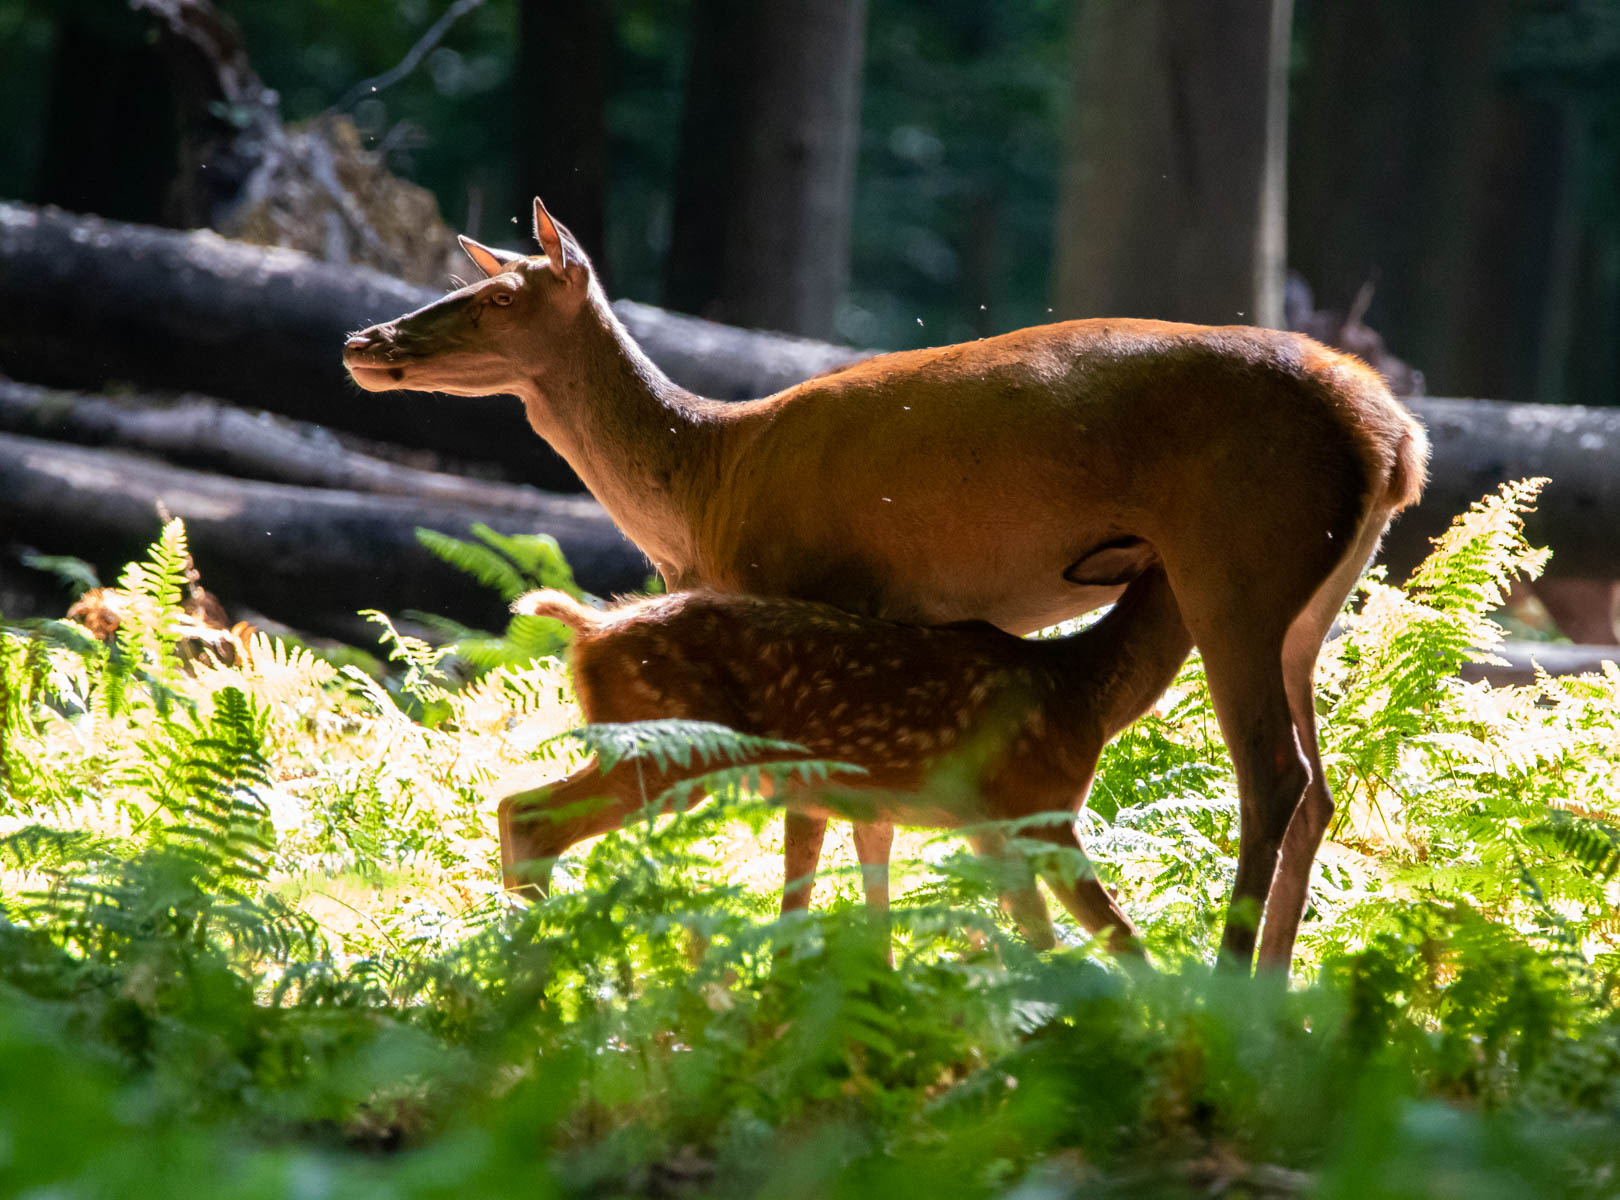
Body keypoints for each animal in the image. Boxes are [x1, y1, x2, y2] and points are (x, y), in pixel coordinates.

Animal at [335, 194, 1425, 965]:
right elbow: (871, 832)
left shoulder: (810, 594)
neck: (703, 482)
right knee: (1319, 786)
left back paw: (1231, 980)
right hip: (1311, 603)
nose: (360, 341)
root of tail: (1394, 438)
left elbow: (809, 831)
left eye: (491, 298)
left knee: (1272, 775)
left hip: (1235, 564)